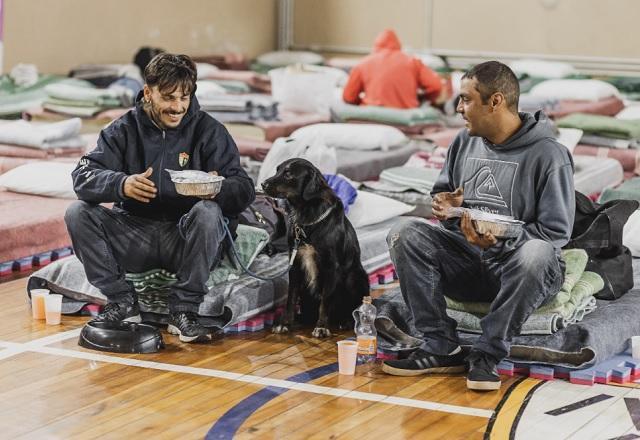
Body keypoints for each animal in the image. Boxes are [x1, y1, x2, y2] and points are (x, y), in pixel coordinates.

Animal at [262, 158, 370, 336]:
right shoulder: (295, 264)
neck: (307, 216)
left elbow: (325, 300)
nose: (263, 184)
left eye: (288, 174)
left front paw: (321, 327)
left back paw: (345, 321)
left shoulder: (331, 267)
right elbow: (291, 298)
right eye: (277, 170)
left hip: (357, 277)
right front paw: (285, 323)